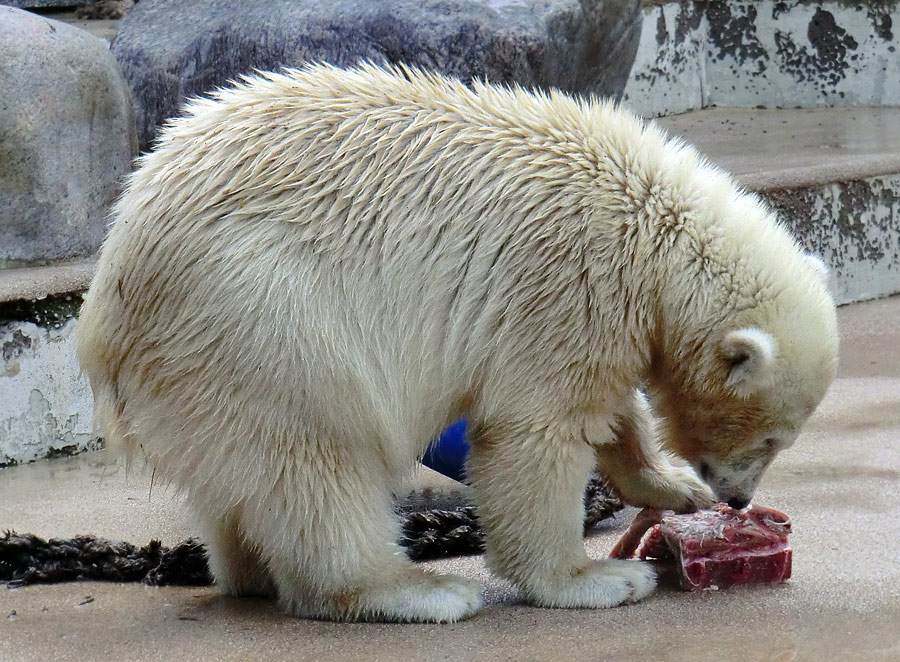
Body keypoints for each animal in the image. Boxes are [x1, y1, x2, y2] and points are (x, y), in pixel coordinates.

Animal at [75, 62, 836, 624]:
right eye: (771, 439)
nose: (735, 500)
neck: (652, 225)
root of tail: (106, 303)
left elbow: (609, 408)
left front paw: (671, 485)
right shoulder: (567, 279)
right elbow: (535, 429)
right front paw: (593, 577)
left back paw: (253, 571)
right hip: (258, 313)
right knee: (315, 455)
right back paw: (418, 590)